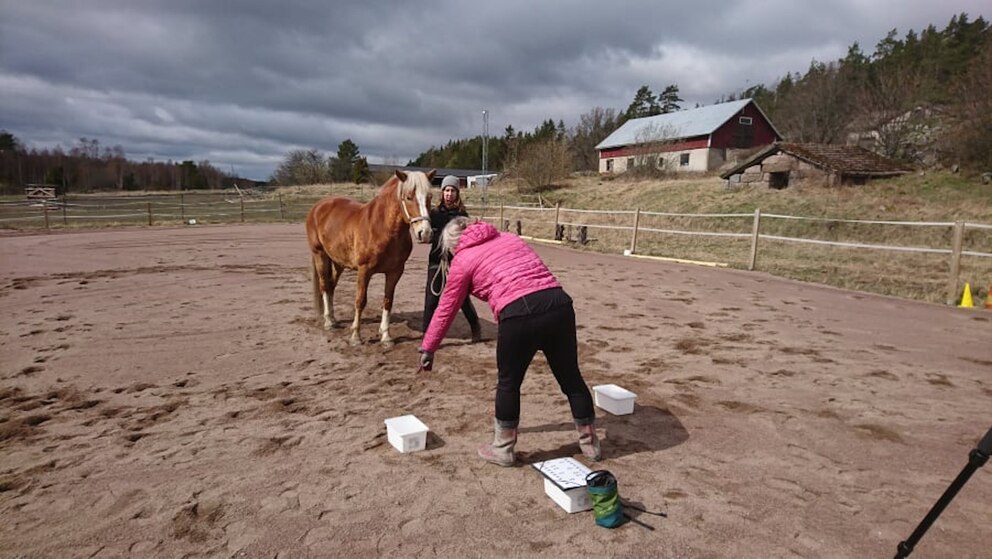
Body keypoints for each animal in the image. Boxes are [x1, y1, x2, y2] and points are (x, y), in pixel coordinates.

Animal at [306, 170, 434, 346]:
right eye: (408, 197)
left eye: (430, 197)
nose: (425, 233)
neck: (382, 228)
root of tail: (318, 207)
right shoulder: (364, 270)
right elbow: (360, 301)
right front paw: (356, 336)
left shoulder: (395, 272)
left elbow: (388, 301)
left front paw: (386, 336)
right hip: (320, 255)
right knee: (325, 285)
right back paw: (328, 322)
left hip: (339, 262)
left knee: (331, 286)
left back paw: (333, 318)